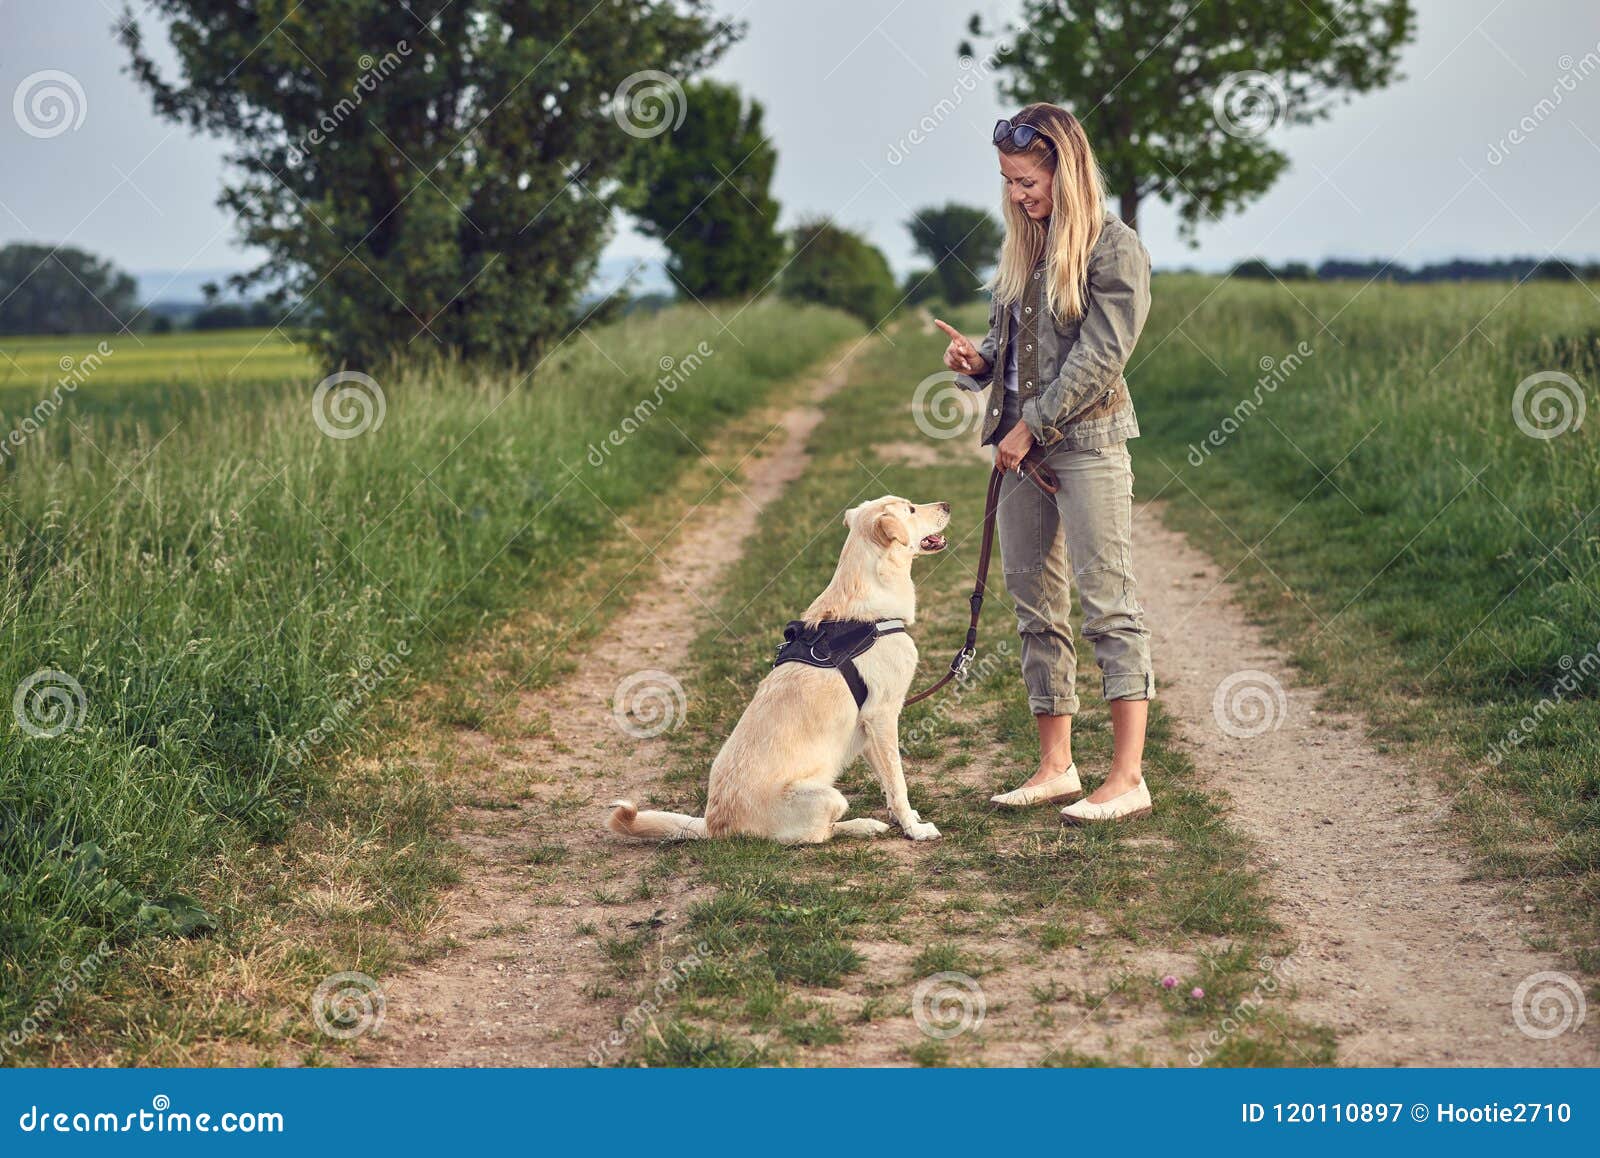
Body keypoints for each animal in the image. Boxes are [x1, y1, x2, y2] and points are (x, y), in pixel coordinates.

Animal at [604, 492, 940, 844]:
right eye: (912, 509)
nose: (947, 506)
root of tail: (714, 825)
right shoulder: (882, 716)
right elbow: (898, 784)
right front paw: (914, 829)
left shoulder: (868, 726)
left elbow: (887, 782)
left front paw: (903, 818)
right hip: (828, 797)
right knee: (821, 833)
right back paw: (864, 825)